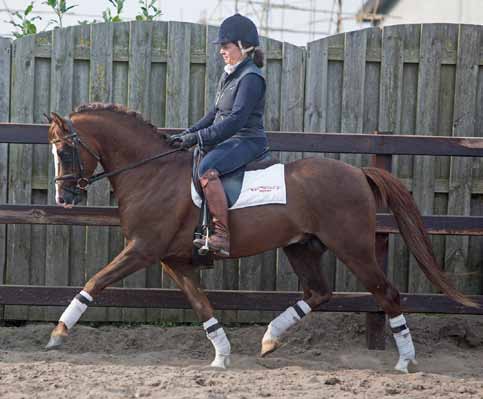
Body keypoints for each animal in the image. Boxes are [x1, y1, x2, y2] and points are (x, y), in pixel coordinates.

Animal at [45, 104, 476, 374]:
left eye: (64, 151)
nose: (64, 197)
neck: (152, 173)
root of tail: (358, 173)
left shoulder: (142, 249)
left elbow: (95, 281)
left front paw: (58, 334)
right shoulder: (174, 260)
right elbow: (201, 305)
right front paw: (221, 355)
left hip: (353, 248)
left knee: (386, 293)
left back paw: (404, 361)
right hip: (301, 247)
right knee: (318, 293)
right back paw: (270, 340)